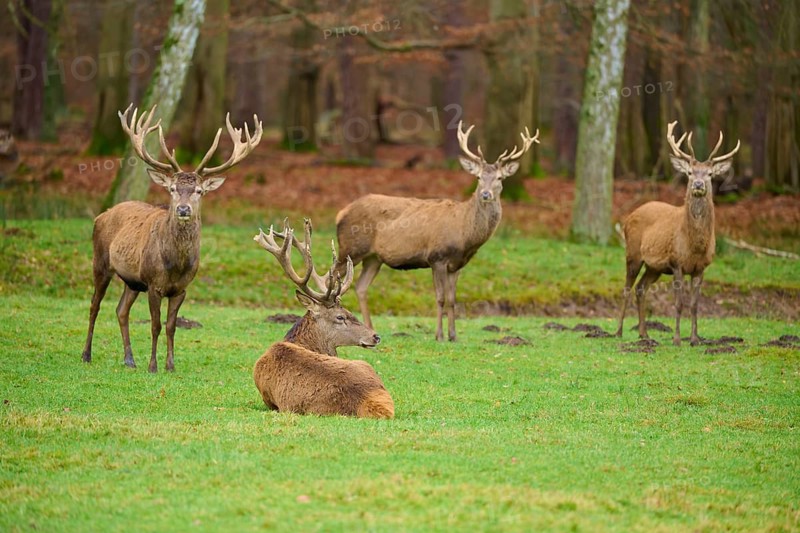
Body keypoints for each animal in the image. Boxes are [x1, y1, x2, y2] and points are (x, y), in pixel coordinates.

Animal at [81, 104, 262, 372]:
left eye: (199, 191)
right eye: (173, 189)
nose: (183, 209)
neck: (175, 264)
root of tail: (101, 214)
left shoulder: (181, 289)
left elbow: (171, 327)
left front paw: (170, 365)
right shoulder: (154, 284)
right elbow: (155, 326)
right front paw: (153, 366)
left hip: (132, 280)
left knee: (121, 310)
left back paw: (129, 359)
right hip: (101, 262)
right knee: (95, 305)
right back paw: (86, 354)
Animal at [335, 121, 539, 342]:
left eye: (500, 178)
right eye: (478, 177)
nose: (486, 194)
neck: (465, 234)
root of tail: (341, 213)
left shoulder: (457, 265)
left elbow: (452, 299)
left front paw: (453, 335)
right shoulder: (437, 257)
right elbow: (440, 298)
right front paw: (439, 335)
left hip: (373, 258)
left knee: (361, 286)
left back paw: (370, 328)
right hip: (350, 248)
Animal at [616, 120, 740, 346]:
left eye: (709, 174)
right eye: (690, 172)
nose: (698, 185)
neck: (694, 246)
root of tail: (629, 217)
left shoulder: (701, 268)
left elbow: (695, 305)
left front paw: (695, 339)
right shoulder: (676, 263)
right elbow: (679, 303)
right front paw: (676, 339)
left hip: (654, 267)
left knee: (641, 288)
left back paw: (644, 333)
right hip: (633, 254)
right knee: (627, 288)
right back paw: (619, 332)